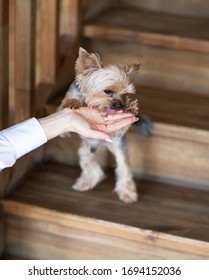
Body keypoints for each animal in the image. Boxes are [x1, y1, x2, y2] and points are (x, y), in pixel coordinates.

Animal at [58, 47, 151, 202]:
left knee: (123, 168)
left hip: (118, 149)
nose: (120, 105)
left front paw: (130, 108)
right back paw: (85, 183)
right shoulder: (69, 98)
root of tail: (100, 145)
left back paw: (127, 193)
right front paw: (72, 104)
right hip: (86, 151)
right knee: (92, 168)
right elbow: (65, 109)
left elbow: (122, 125)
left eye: (125, 95)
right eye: (108, 91)